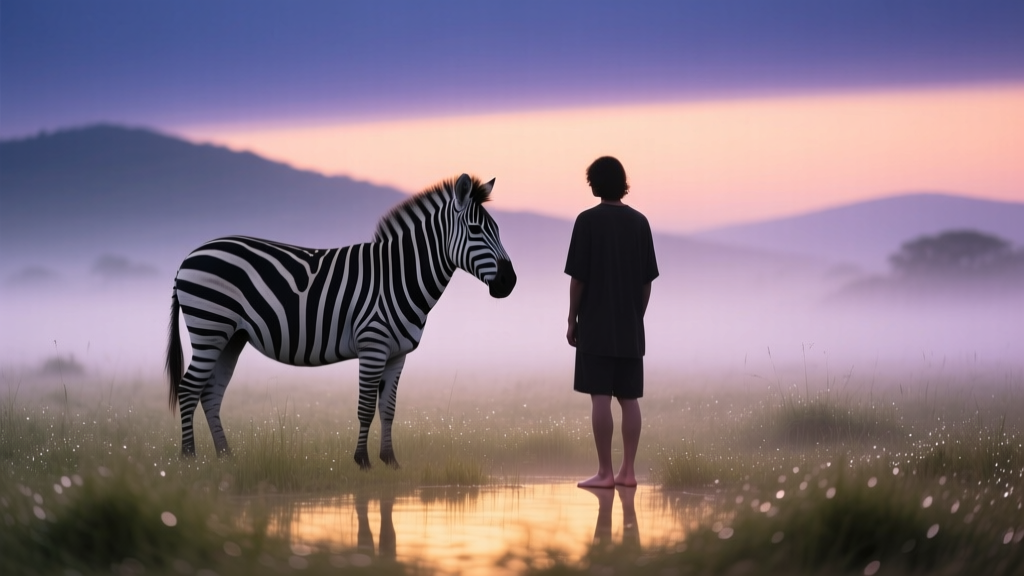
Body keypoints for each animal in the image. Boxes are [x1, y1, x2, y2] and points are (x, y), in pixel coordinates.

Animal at [165, 174, 517, 469]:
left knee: (211, 393)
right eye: (475, 231)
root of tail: (189, 256)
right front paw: (362, 461)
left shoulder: (397, 354)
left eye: (499, 231)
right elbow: (365, 407)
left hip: (231, 338)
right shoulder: (373, 345)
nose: (509, 282)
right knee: (189, 388)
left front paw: (390, 460)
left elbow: (388, 409)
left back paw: (226, 457)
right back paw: (188, 459)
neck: (398, 277)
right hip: (209, 327)